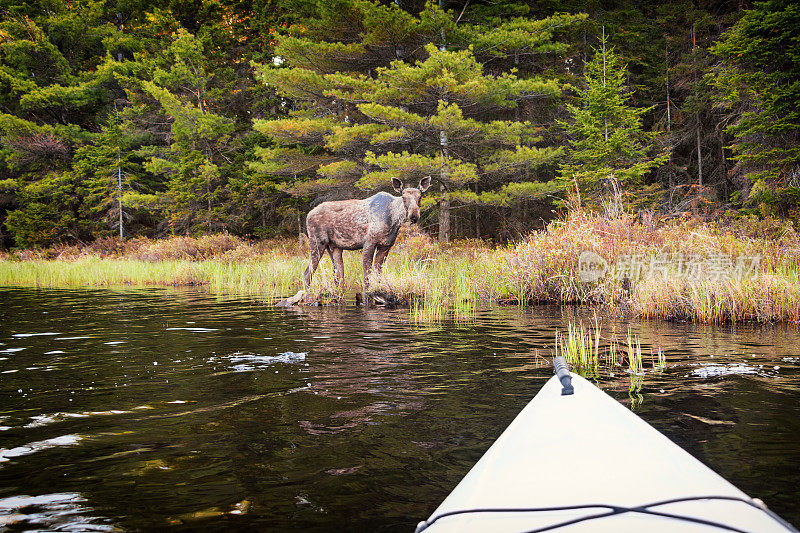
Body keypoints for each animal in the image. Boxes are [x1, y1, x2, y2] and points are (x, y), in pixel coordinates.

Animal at [304, 177, 432, 288]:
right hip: (317, 242)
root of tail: (308, 214)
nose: (414, 216)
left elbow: (378, 276)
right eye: (403, 197)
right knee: (307, 273)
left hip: (334, 247)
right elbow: (367, 279)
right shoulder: (369, 243)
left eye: (420, 197)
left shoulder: (385, 246)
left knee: (338, 276)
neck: (394, 221)